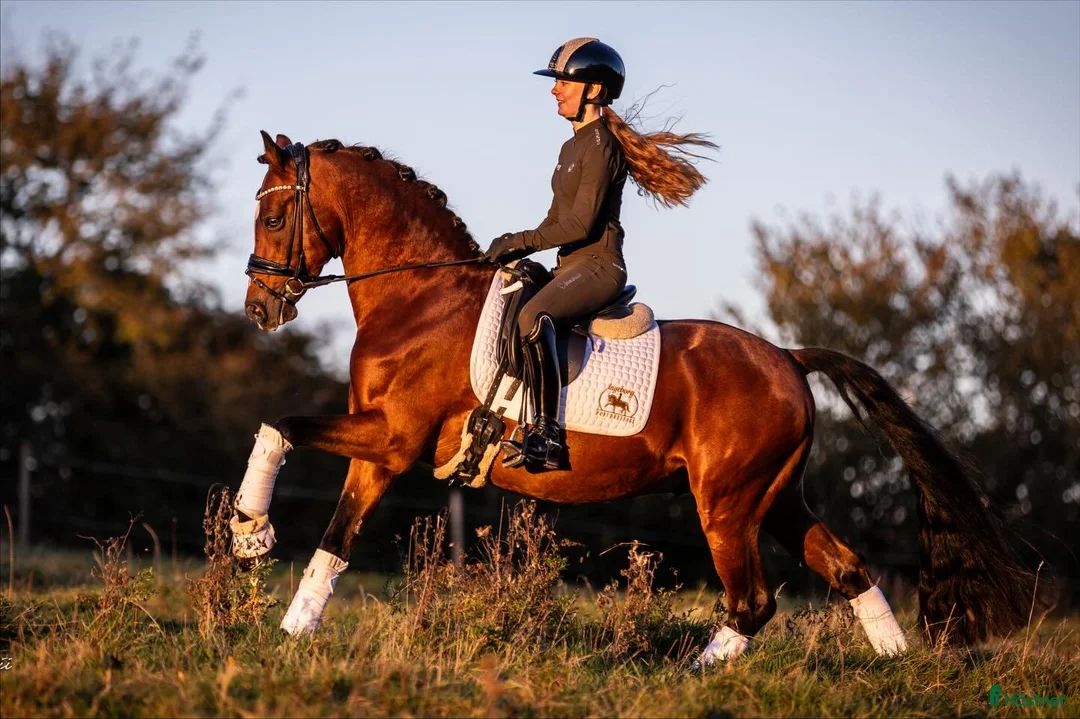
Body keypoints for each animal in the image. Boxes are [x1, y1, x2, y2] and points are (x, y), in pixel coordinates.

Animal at [231, 130, 1049, 663]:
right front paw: (288, 630)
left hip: (728, 504)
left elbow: (278, 423)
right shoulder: (378, 449)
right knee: (848, 569)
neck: (419, 298)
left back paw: (694, 678)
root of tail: (786, 357)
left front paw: (247, 533)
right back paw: (898, 669)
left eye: (272, 215)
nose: (259, 310)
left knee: (753, 602)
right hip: (776, 497)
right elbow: (334, 538)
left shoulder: (393, 436)